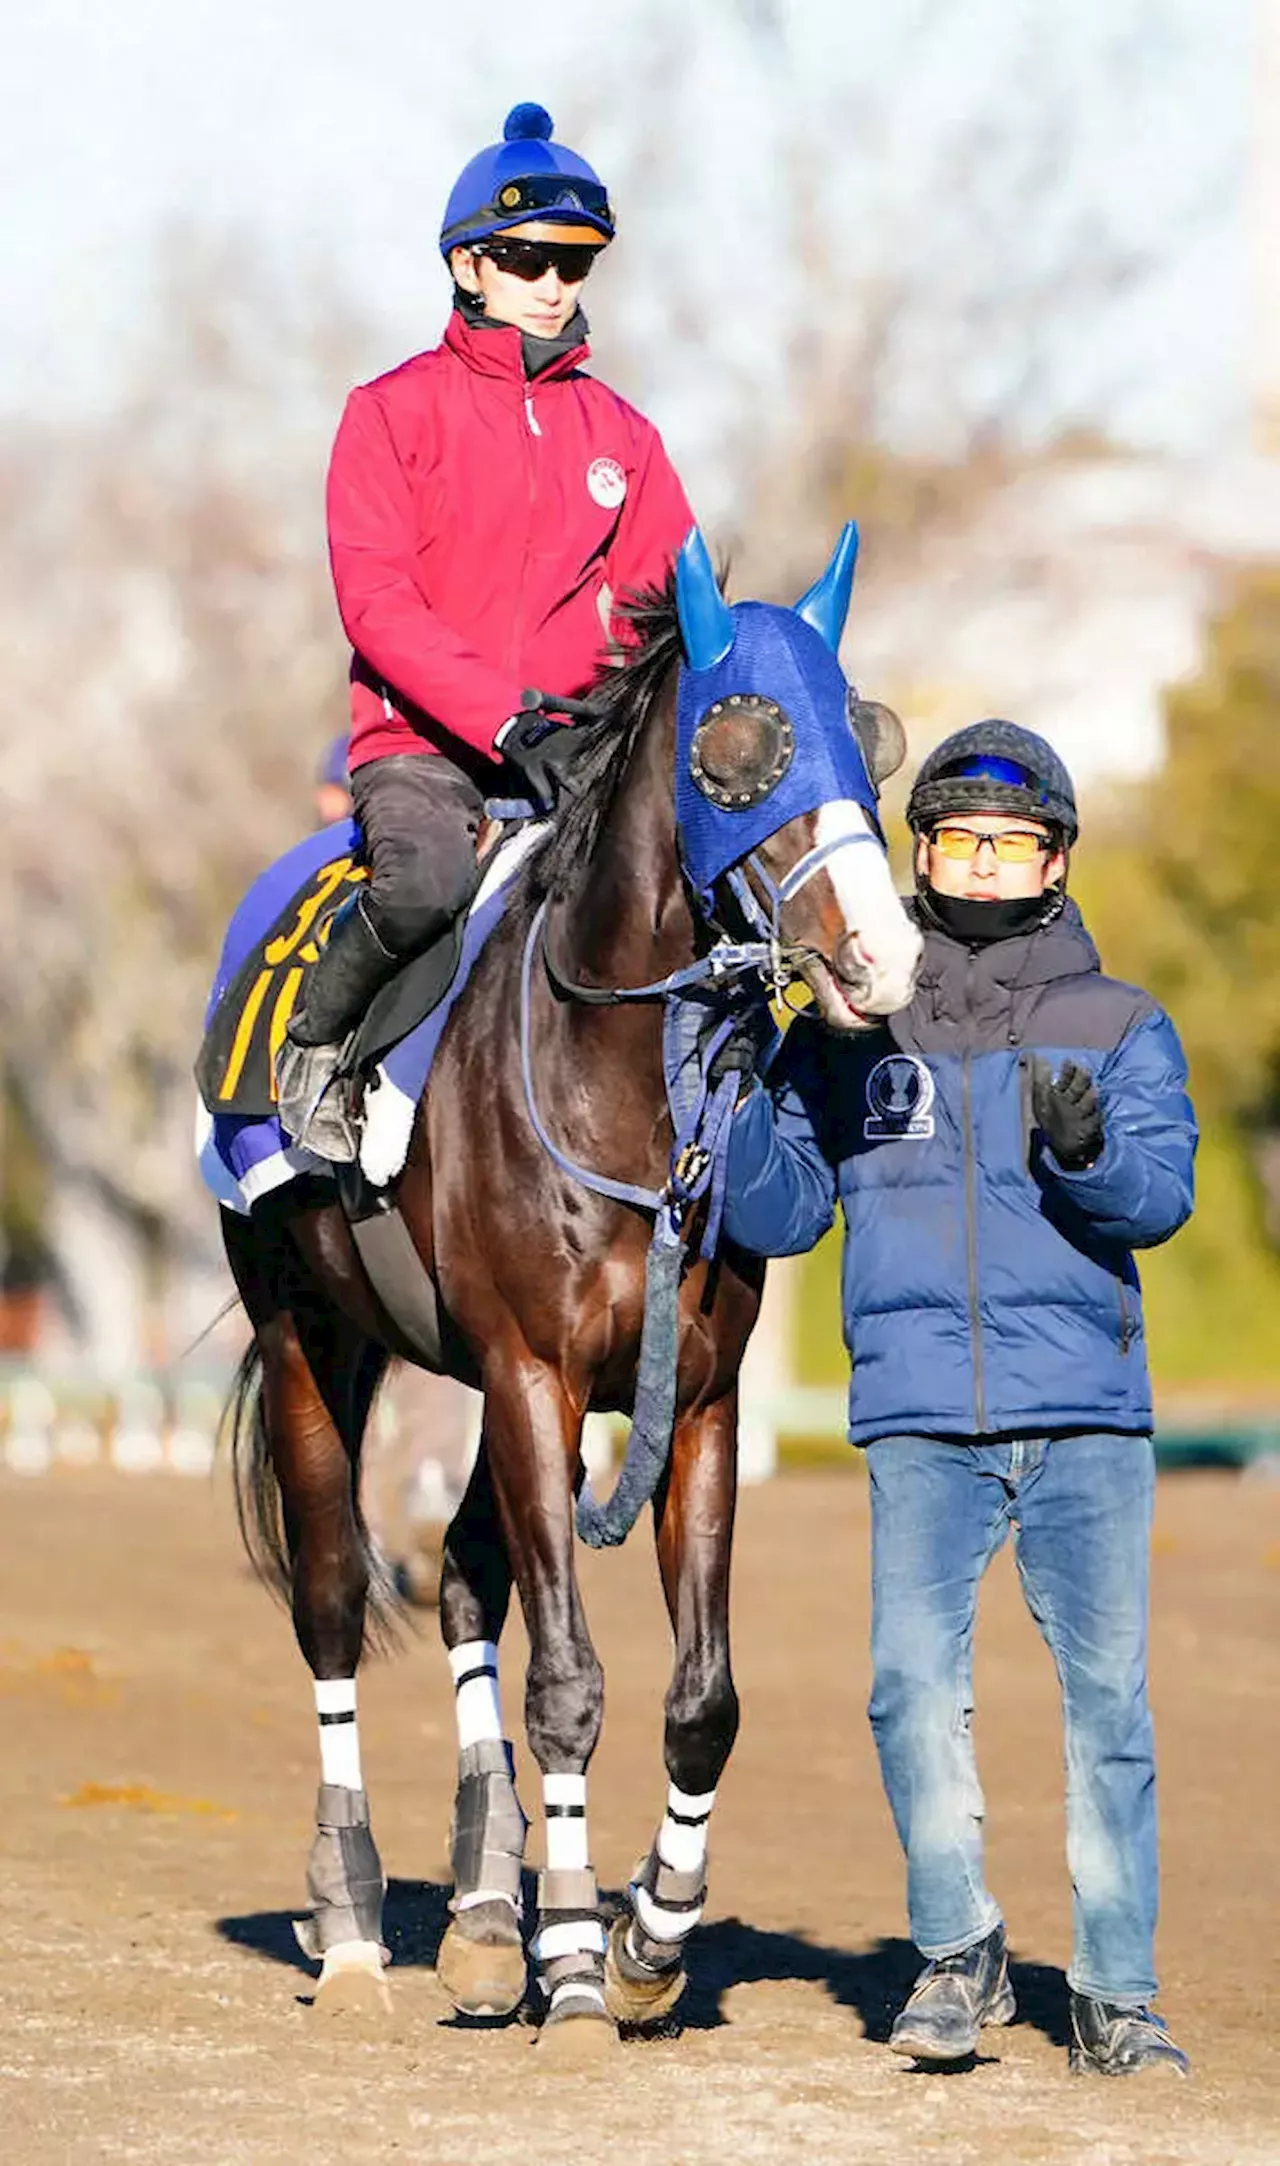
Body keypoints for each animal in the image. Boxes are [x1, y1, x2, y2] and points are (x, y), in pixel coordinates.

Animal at [220, 524, 922, 2044]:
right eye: (739, 750)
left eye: (867, 739)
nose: (885, 955)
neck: (625, 1089)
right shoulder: (534, 1376)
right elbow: (567, 1681)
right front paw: (583, 1963)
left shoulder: (691, 1400)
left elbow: (701, 1696)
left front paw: (647, 1934)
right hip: (313, 1335)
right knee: (330, 1599)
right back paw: (354, 1927)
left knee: (464, 1580)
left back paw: (487, 1916)